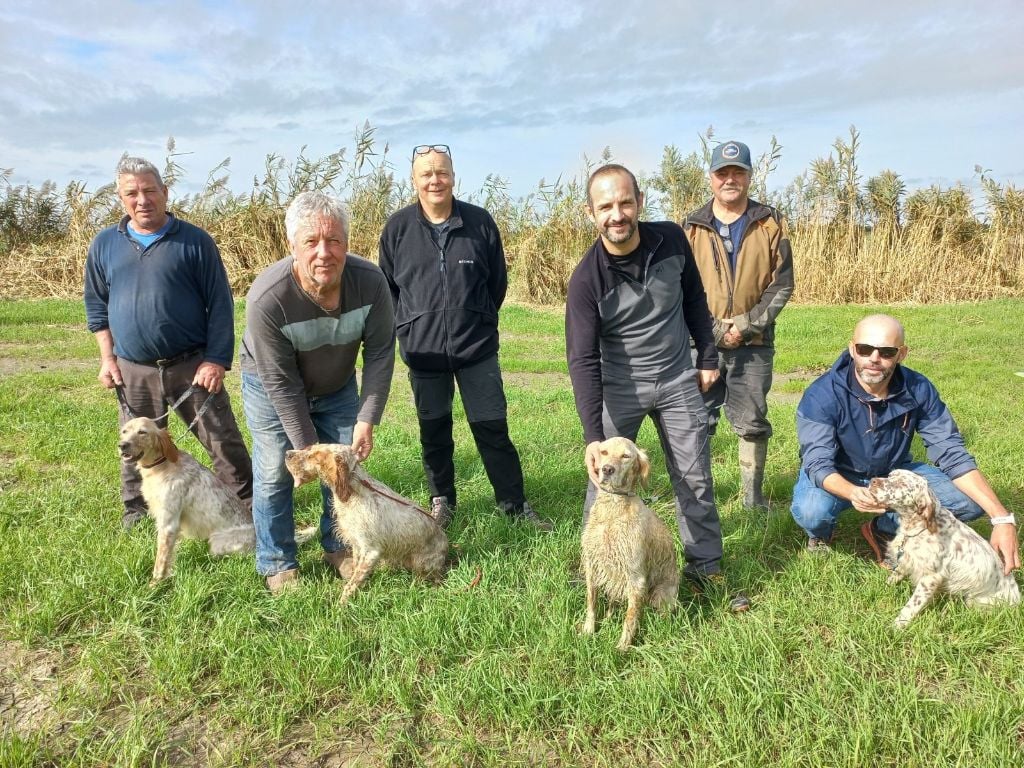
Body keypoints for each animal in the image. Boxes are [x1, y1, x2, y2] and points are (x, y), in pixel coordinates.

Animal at [118, 417, 258, 585]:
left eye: (142, 432)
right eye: (124, 431)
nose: (122, 445)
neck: (161, 466)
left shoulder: (168, 524)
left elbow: (160, 561)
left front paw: (154, 585)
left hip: (217, 543)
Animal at [286, 444, 450, 602]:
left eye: (313, 456)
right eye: (310, 449)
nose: (287, 453)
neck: (352, 494)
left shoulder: (371, 550)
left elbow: (352, 584)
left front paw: (341, 605)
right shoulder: (357, 544)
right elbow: (355, 570)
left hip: (421, 563)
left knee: (431, 578)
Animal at [577, 438, 679, 651]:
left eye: (626, 456)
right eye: (604, 452)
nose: (607, 469)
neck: (612, 509)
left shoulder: (635, 577)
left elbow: (630, 617)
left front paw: (622, 648)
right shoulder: (592, 565)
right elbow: (591, 603)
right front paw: (588, 631)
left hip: (660, 594)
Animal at [868, 468, 1019, 630]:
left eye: (902, 484)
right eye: (890, 475)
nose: (873, 481)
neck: (919, 527)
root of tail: (1017, 601)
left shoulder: (930, 578)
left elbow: (911, 606)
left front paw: (895, 627)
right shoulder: (907, 559)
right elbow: (894, 575)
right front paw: (883, 588)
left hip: (975, 601)